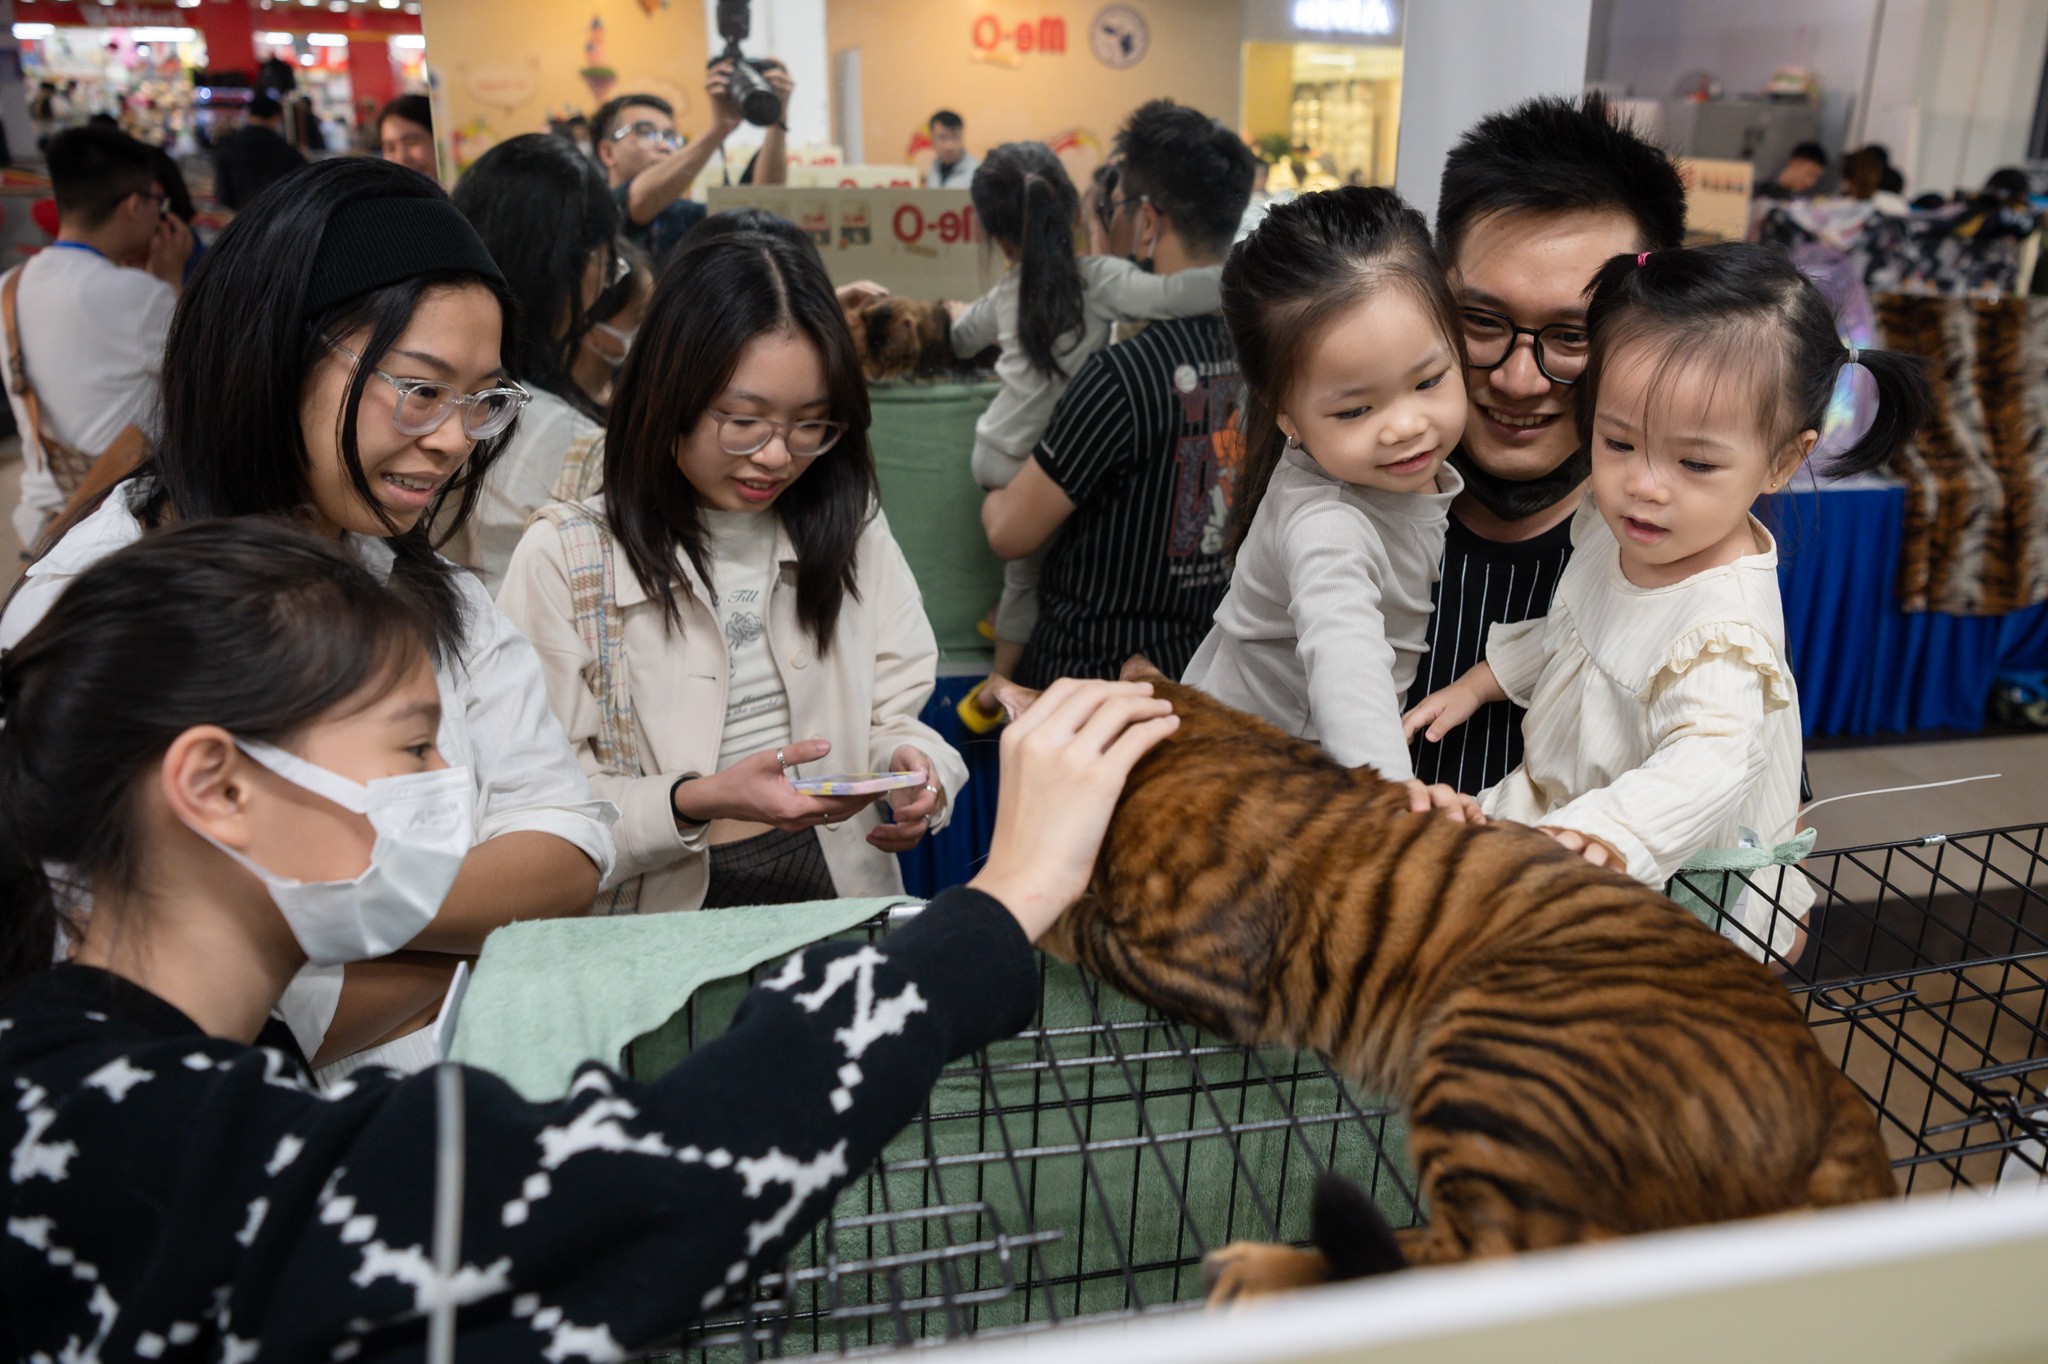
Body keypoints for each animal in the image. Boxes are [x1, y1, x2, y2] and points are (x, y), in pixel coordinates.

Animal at [999, 663, 1892, 1302]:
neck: (1204, 743)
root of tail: (1841, 1104)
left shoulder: (1202, 961)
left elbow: (1068, 911)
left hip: (1497, 1054)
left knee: (1487, 1265)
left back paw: (1261, 1269)